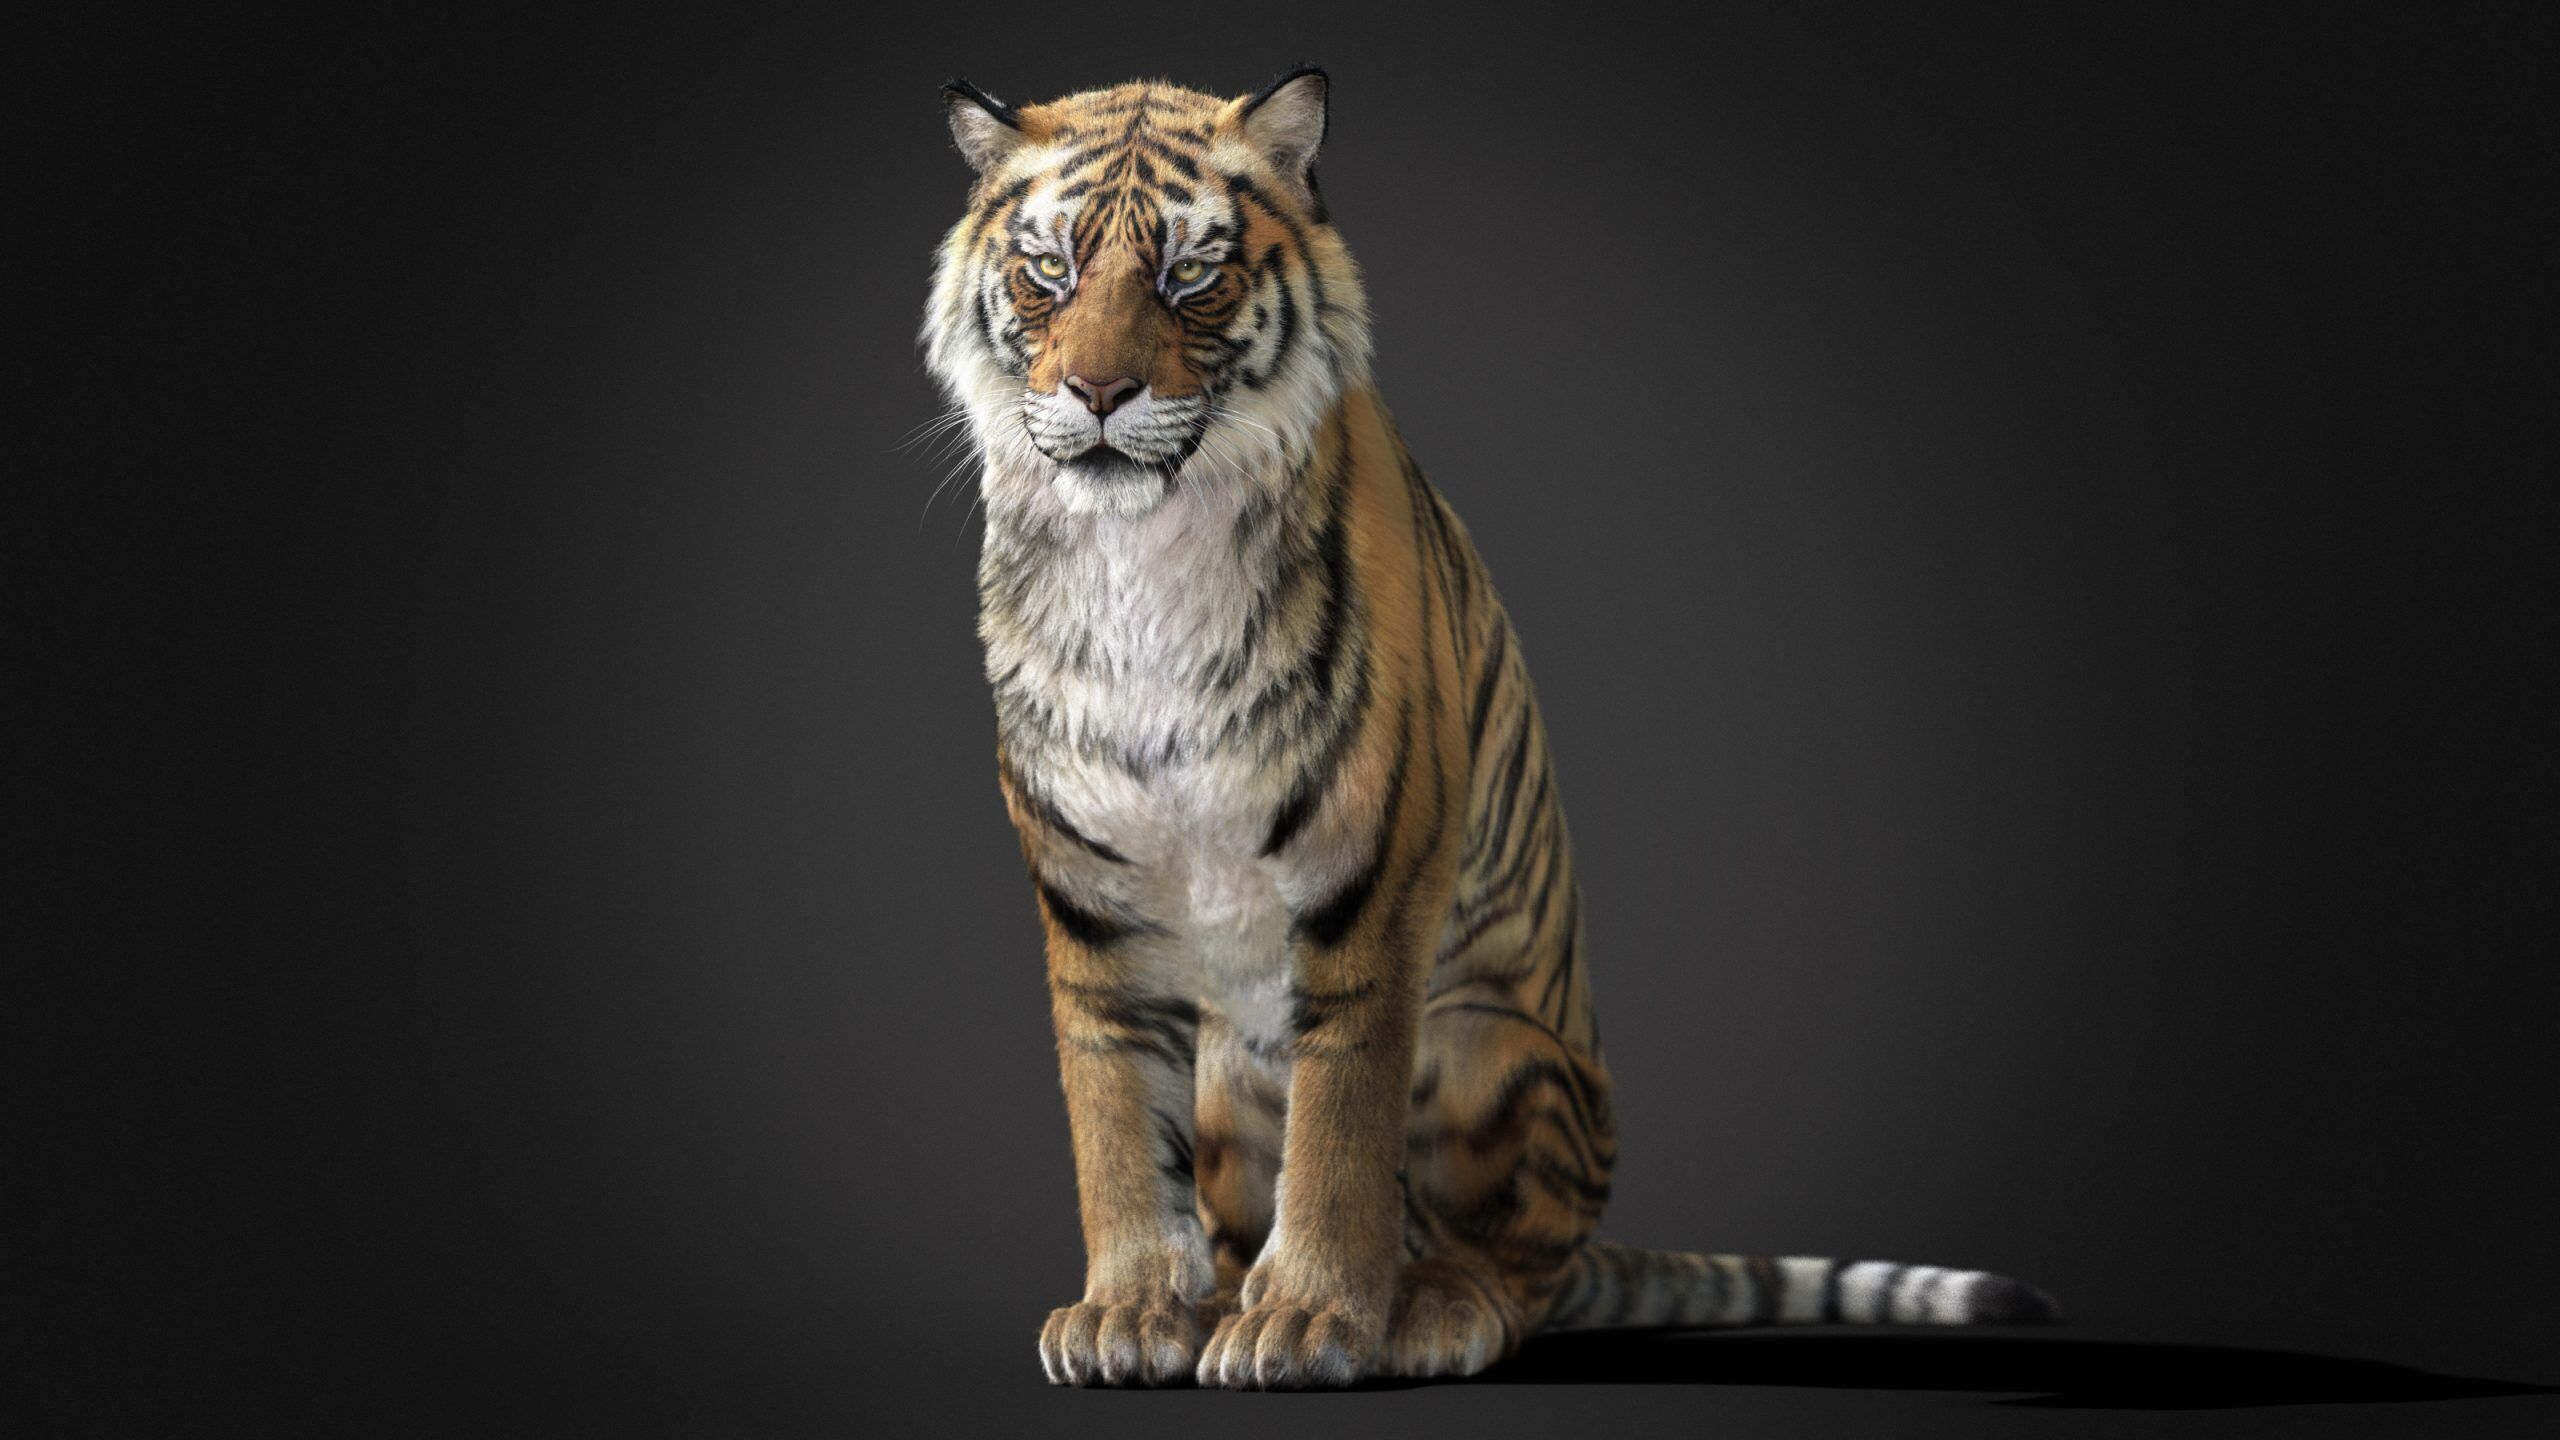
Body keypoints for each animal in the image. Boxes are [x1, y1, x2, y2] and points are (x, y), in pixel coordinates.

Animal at [918, 67, 2061, 1390]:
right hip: (1226, 1069)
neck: (1140, 552)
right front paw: (1132, 1310)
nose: (1098, 394)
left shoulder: (1366, 882)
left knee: (1516, 1265)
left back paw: (1421, 1305)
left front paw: (1308, 1321)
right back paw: (1228, 1288)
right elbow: (1111, 1122)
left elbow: (1342, 1131)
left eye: (1189, 273)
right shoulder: (1089, 898)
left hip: (1484, 1044)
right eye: (1047, 272)